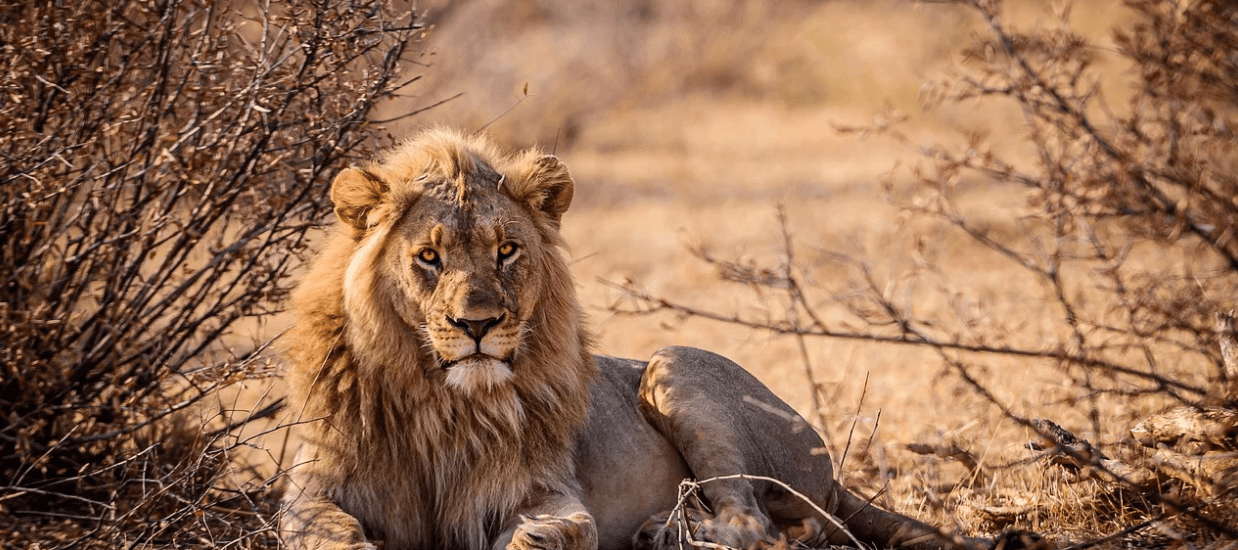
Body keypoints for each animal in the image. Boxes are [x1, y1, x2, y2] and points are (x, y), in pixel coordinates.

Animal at [280, 128, 1009, 550]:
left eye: (507, 250)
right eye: (428, 258)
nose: (478, 326)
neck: (440, 402)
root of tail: (832, 476)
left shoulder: (546, 493)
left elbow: (550, 531)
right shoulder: (314, 485)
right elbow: (319, 528)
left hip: (675, 367)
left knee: (758, 525)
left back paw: (668, 532)